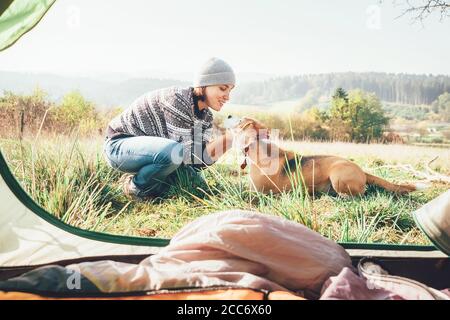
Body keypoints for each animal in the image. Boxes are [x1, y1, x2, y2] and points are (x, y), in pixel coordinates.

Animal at [234, 117, 420, 196]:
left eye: (240, 120)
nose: (228, 115)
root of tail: (362, 171)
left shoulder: (257, 191)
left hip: (337, 174)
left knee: (360, 194)